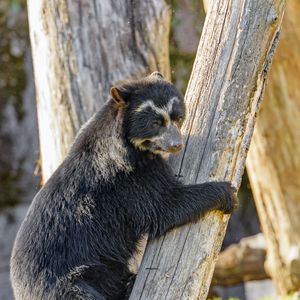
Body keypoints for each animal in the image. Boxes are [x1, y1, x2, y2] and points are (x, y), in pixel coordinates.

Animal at [10, 72, 238, 300]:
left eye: (178, 117)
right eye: (156, 123)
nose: (176, 145)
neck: (128, 146)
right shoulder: (127, 181)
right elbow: (165, 205)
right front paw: (227, 194)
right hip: (66, 283)